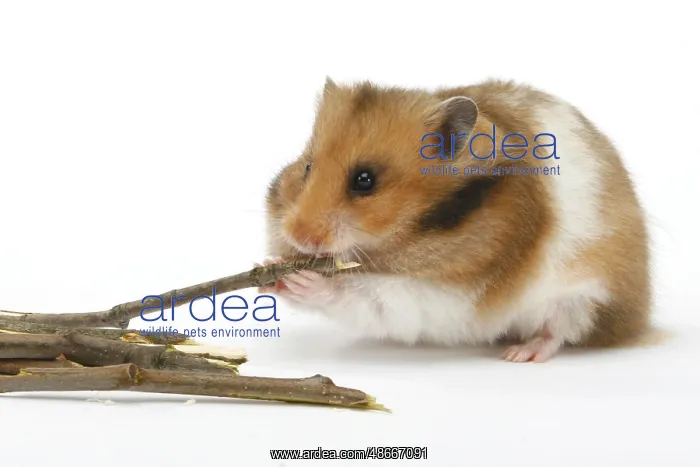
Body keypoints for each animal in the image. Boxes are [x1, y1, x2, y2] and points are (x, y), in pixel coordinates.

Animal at [260, 77, 651, 363]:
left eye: (365, 180)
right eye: (307, 167)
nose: (298, 236)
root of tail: (639, 318)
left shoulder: (449, 292)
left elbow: (368, 295)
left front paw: (304, 280)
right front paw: (270, 271)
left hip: (584, 298)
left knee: (560, 332)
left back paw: (517, 354)